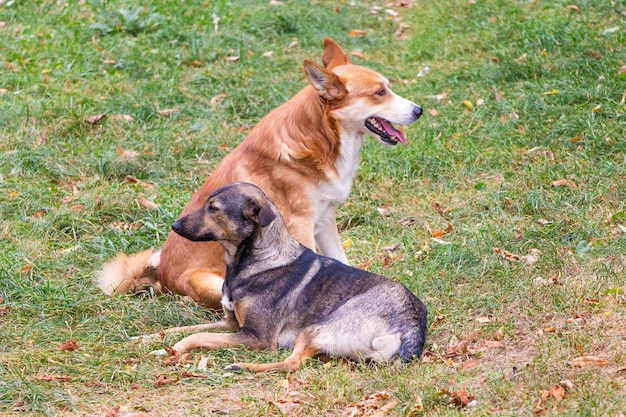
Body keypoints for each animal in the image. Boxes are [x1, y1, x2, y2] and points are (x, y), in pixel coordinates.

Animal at [167, 182, 424, 370]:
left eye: (213, 208)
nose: (174, 225)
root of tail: (412, 326)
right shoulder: (229, 324)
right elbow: (188, 329)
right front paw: (159, 336)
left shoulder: (256, 337)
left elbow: (197, 336)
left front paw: (173, 350)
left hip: (315, 329)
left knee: (290, 364)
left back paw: (241, 366)